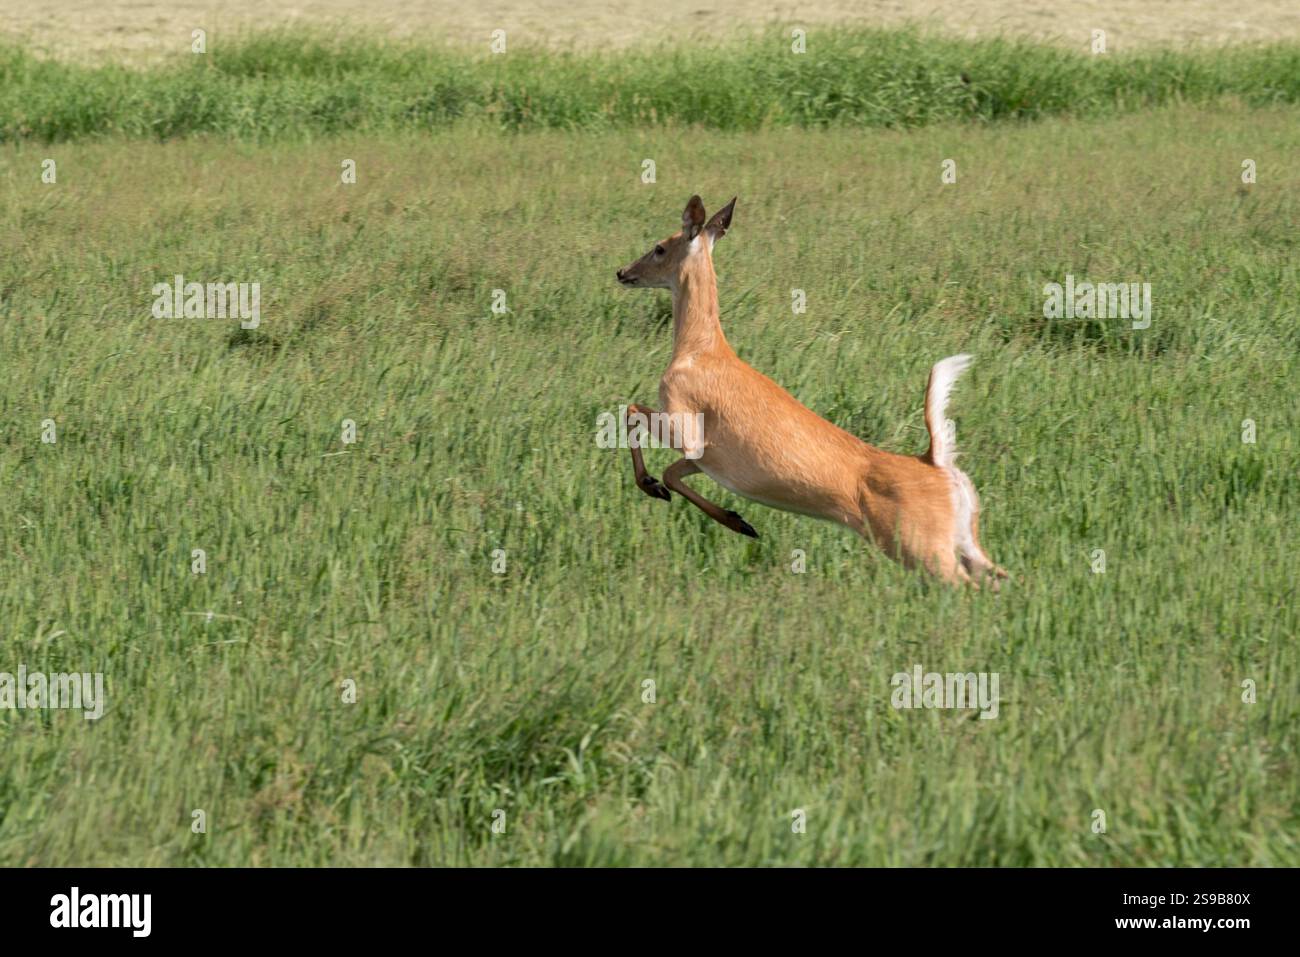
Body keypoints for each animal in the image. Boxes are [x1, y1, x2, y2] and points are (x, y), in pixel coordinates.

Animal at [615, 195, 1007, 588]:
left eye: (659, 248)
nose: (621, 272)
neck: (697, 349)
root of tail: (936, 463)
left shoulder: (686, 421)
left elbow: (630, 411)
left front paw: (654, 486)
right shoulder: (706, 458)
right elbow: (672, 472)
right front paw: (736, 520)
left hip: (922, 547)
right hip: (962, 540)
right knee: (999, 575)